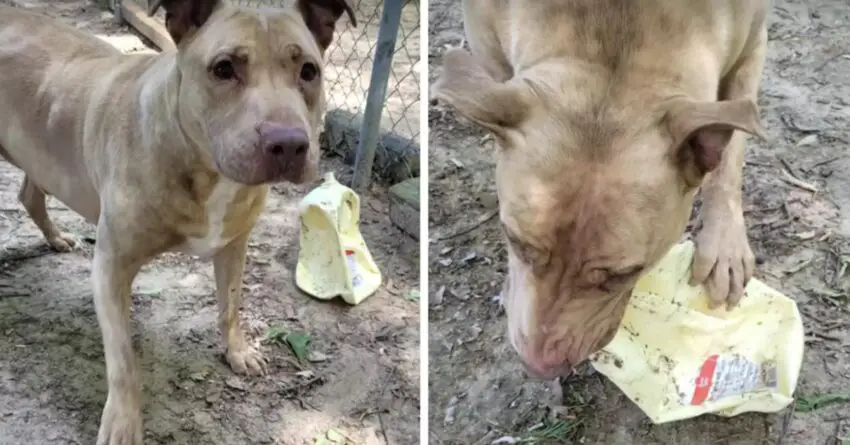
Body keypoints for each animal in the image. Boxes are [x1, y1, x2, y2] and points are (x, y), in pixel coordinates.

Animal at [0, 0, 354, 440]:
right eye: (224, 68)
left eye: (308, 70)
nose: (288, 144)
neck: (205, 170)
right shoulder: (111, 269)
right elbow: (124, 360)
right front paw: (123, 422)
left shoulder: (234, 245)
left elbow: (230, 305)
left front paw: (237, 351)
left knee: (29, 195)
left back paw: (56, 237)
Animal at [430, 0, 768, 378]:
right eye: (514, 241)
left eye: (624, 274)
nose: (537, 366)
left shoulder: (752, 47)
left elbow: (732, 150)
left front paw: (724, 244)